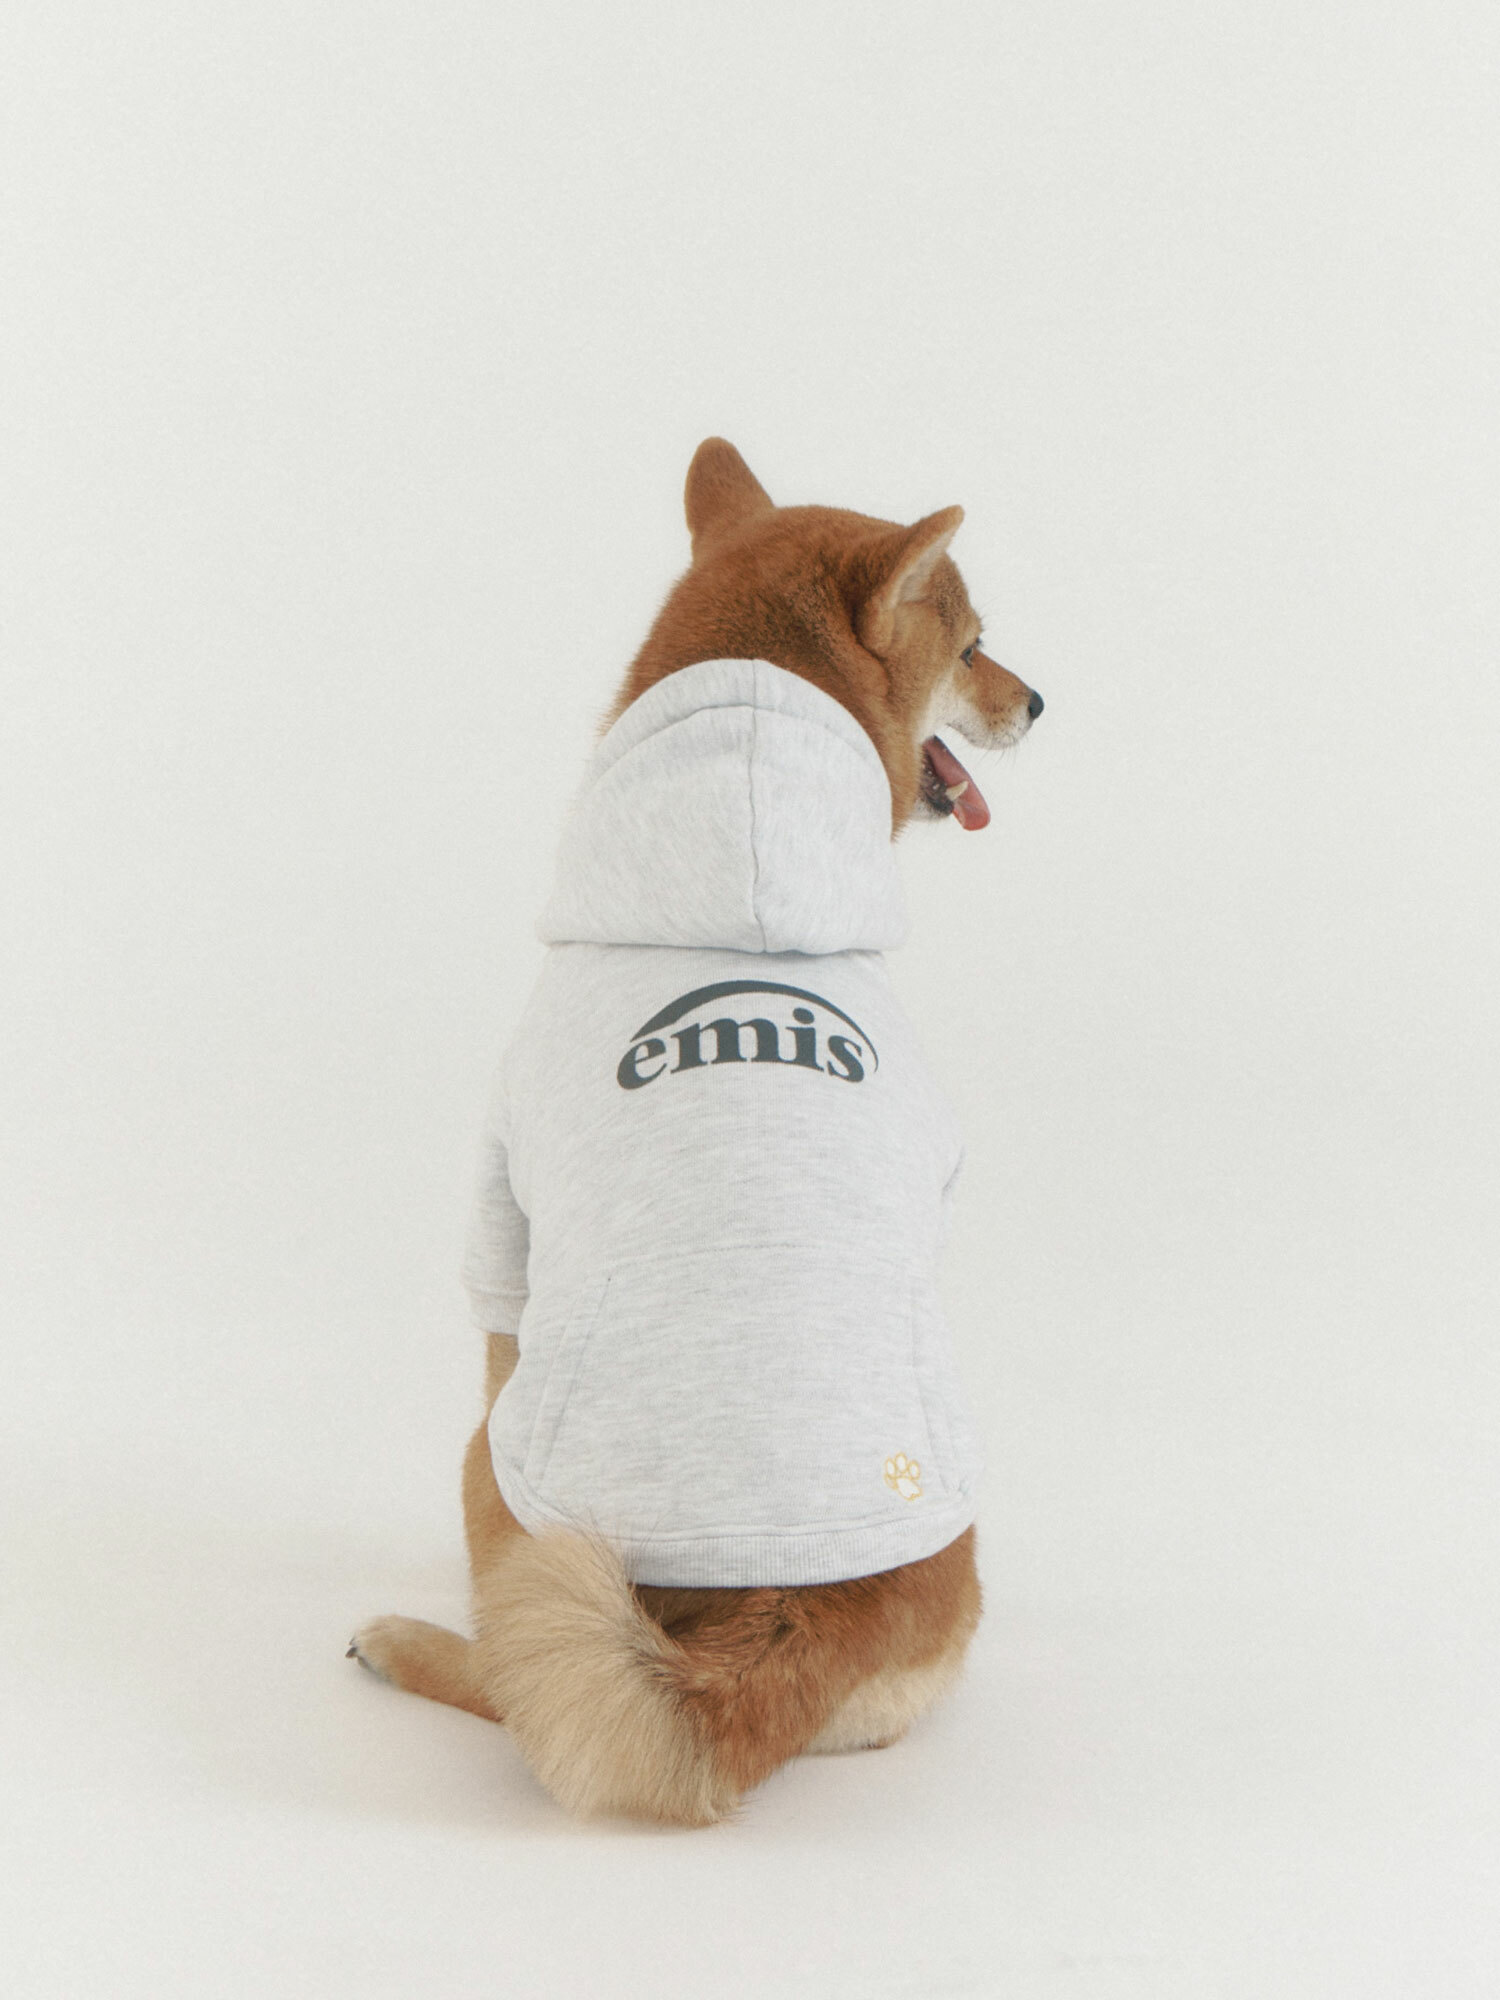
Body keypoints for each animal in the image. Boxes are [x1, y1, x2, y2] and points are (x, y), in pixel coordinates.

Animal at [350, 440, 1042, 1823]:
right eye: (978, 644)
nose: (1041, 700)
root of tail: (794, 1609)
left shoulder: (503, 1238)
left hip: (488, 1455)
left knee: (521, 1686)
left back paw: (414, 1640)